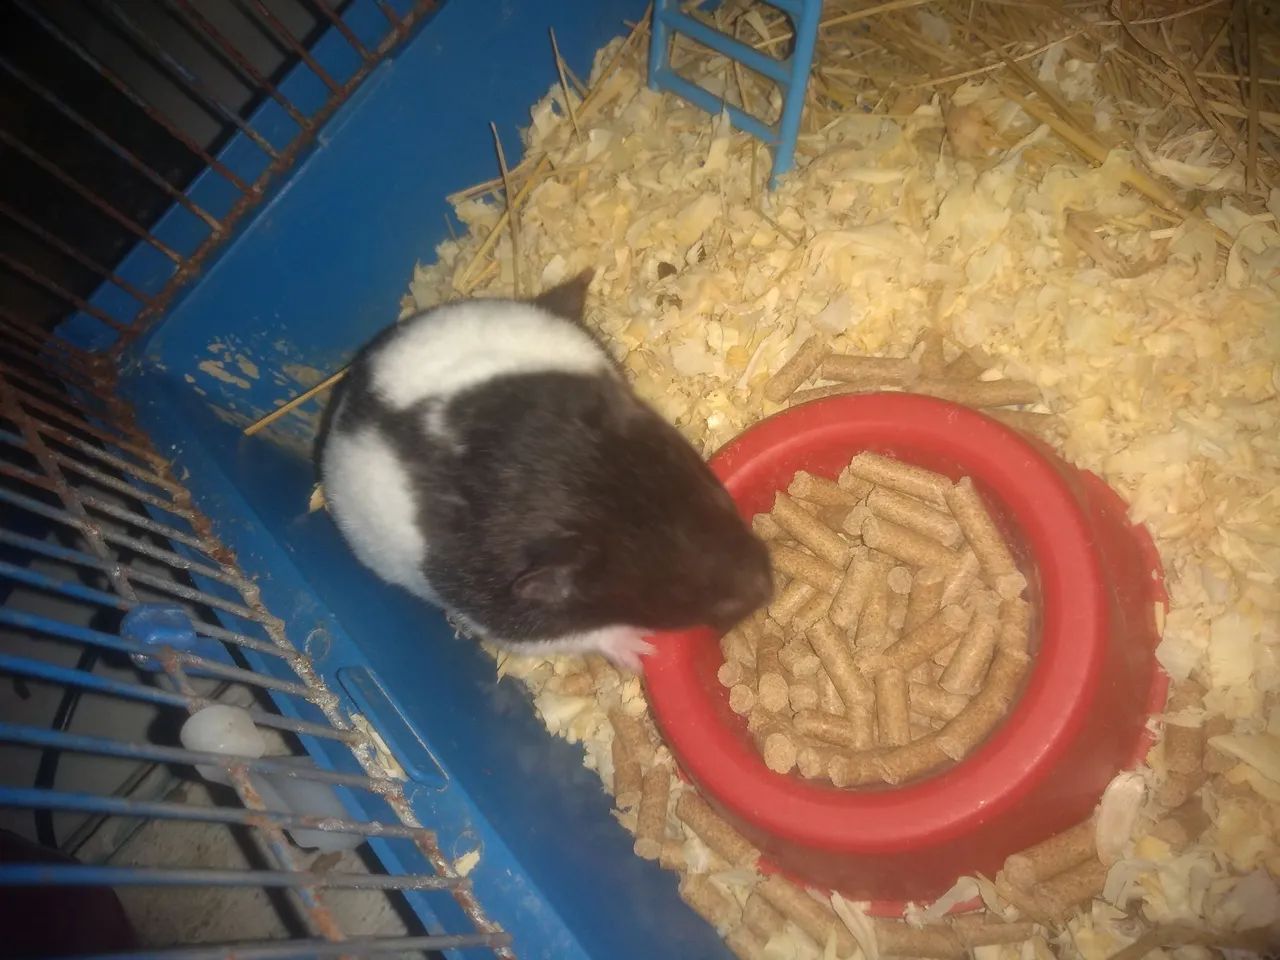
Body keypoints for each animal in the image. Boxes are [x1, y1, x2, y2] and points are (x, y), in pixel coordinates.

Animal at [316, 270, 772, 671]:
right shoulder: (504, 612)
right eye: (669, 599)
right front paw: (642, 651)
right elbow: (570, 634)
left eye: (717, 497)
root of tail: (344, 397)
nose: (769, 584)